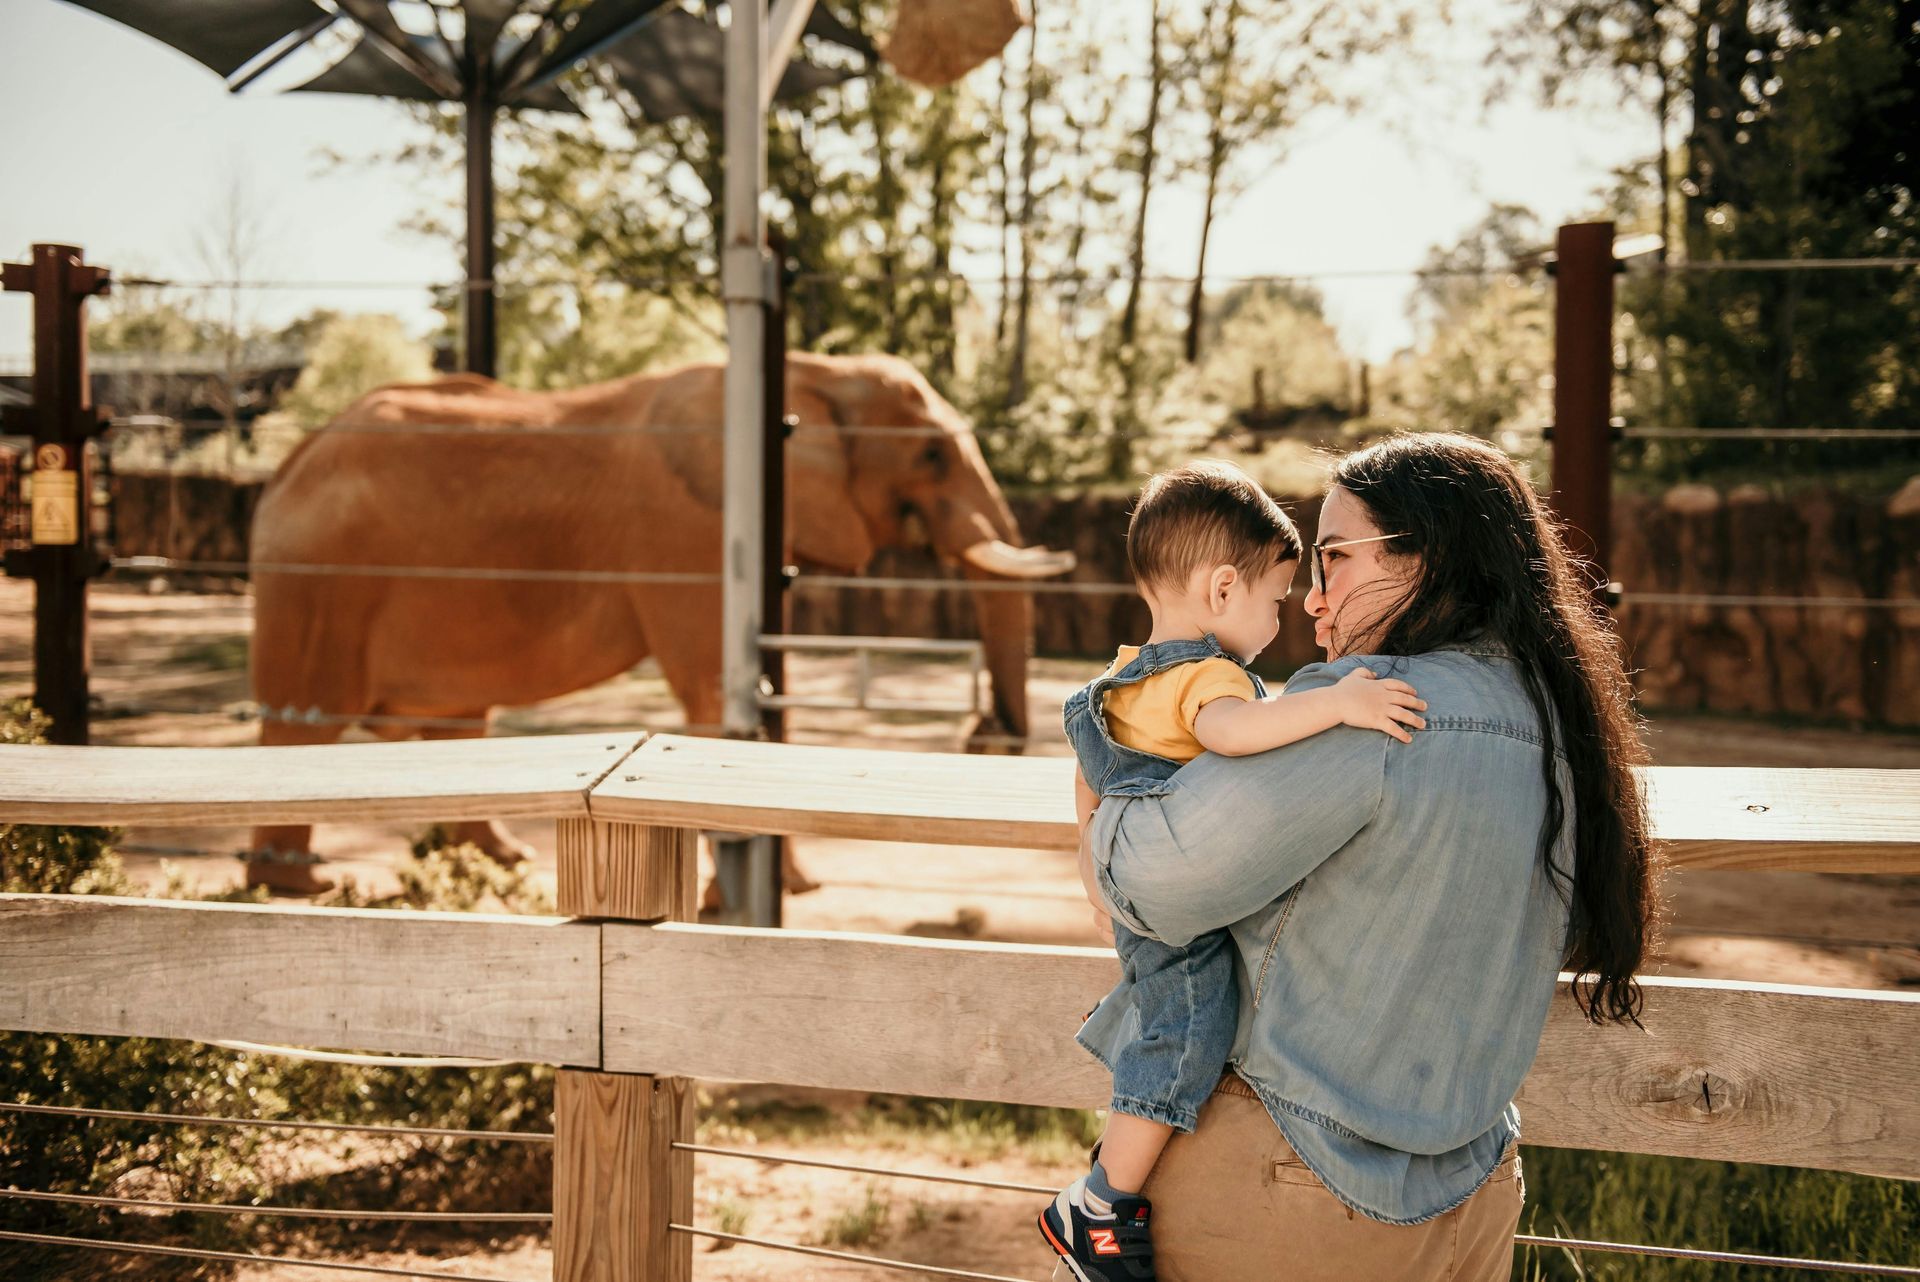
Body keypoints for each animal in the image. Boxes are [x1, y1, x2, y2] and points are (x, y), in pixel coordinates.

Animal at [240, 351, 1075, 890]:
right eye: (931, 456)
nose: (985, 734)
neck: (810, 370)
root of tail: (288, 466)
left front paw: (792, 890)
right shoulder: (691, 530)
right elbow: (710, 693)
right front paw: (780, 890)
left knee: (452, 724)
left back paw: (500, 865)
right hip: (318, 587)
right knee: (301, 726)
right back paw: (302, 890)